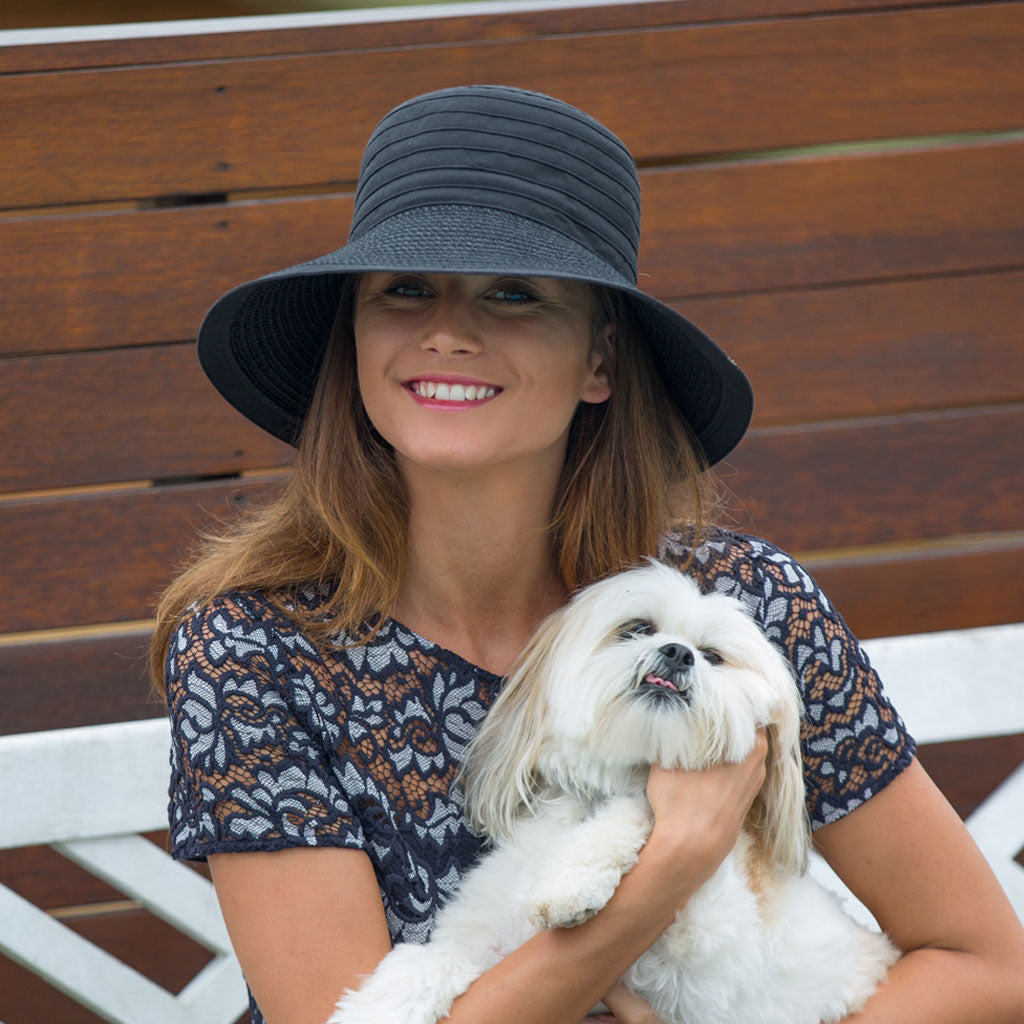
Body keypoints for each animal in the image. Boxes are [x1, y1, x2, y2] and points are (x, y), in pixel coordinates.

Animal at [331, 565, 901, 1024]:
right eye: (638, 629)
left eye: (713, 657)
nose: (678, 652)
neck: (601, 788)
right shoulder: (485, 938)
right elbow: (430, 959)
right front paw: (378, 1007)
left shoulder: (703, 948)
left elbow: (639, 808)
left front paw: (569, 882)